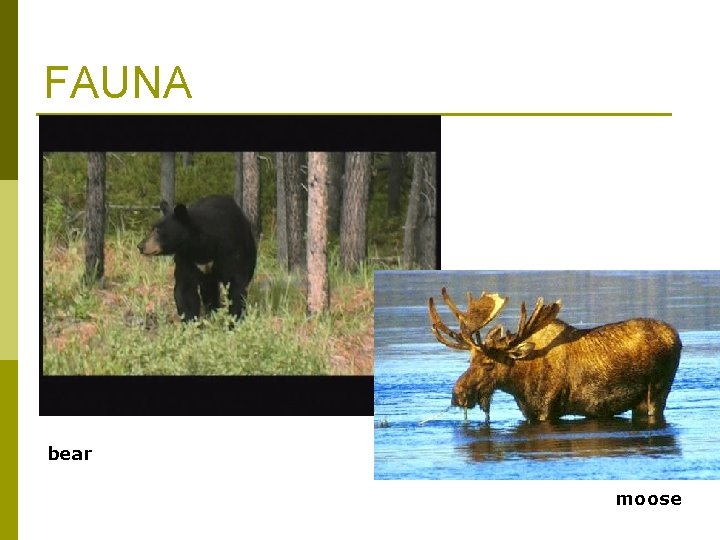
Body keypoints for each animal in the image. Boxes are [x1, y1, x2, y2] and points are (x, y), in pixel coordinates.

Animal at [428, 288, 682, 424]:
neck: (518, 383)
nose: (458, 395)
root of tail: (676, 337)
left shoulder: (547, 408)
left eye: (489, 363)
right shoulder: (529, 410)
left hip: (657, 391)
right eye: (469, 360)